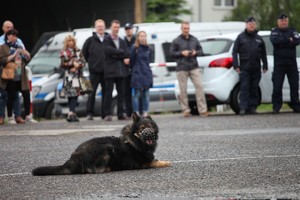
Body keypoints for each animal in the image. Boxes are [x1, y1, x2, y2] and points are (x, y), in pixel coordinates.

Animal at [32, 111, 171, 176]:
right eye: (142, 128)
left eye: (151, 127)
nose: (149, 134)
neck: (135, 140)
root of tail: (75, 157)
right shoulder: (142, 164)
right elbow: (155, 162)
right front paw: (165, 162)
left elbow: (155, 159)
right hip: (107, 148)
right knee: (96, 170)